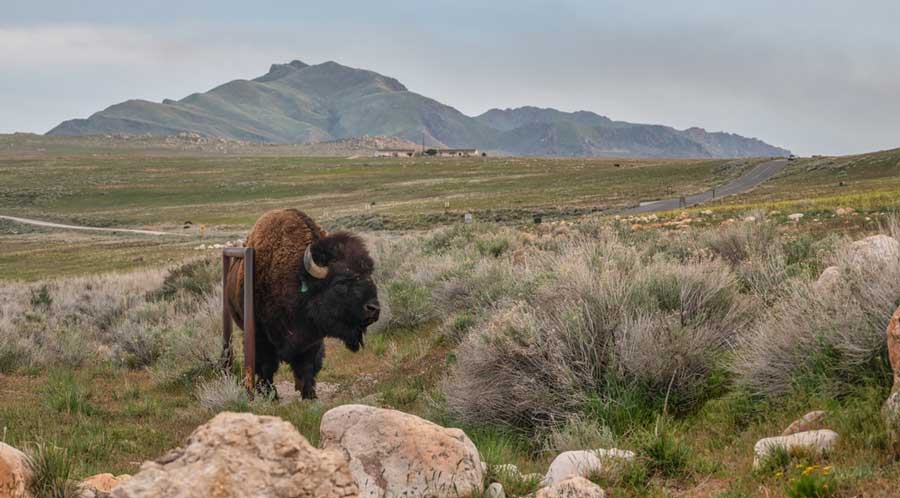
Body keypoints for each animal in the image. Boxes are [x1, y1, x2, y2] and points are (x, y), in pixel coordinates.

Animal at [225, 208, 380, 399]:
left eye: (369, 275)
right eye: (340, 282)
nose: (373, 309)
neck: (297, 278)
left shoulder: (312, 339)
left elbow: (307, 366)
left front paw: (309, 394)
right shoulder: (260, 336)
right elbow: (266, 366)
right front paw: (271, 395)